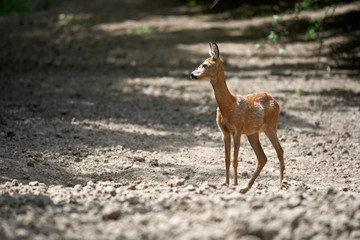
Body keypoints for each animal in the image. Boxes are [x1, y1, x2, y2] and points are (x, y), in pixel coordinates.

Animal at [188, 42, 284, 193]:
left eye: (205, 65)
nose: (191, 74)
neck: (229, 104)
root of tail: (276, 102)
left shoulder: (237, 130)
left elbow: (235, 159)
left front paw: (234, 184)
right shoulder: (224, 132)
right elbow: (226, 159)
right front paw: (226, 183)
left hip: (270, 126)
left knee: (279, 151)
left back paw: (279, 185)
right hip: (253, 132)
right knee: (262, 157)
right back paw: (247, 186)